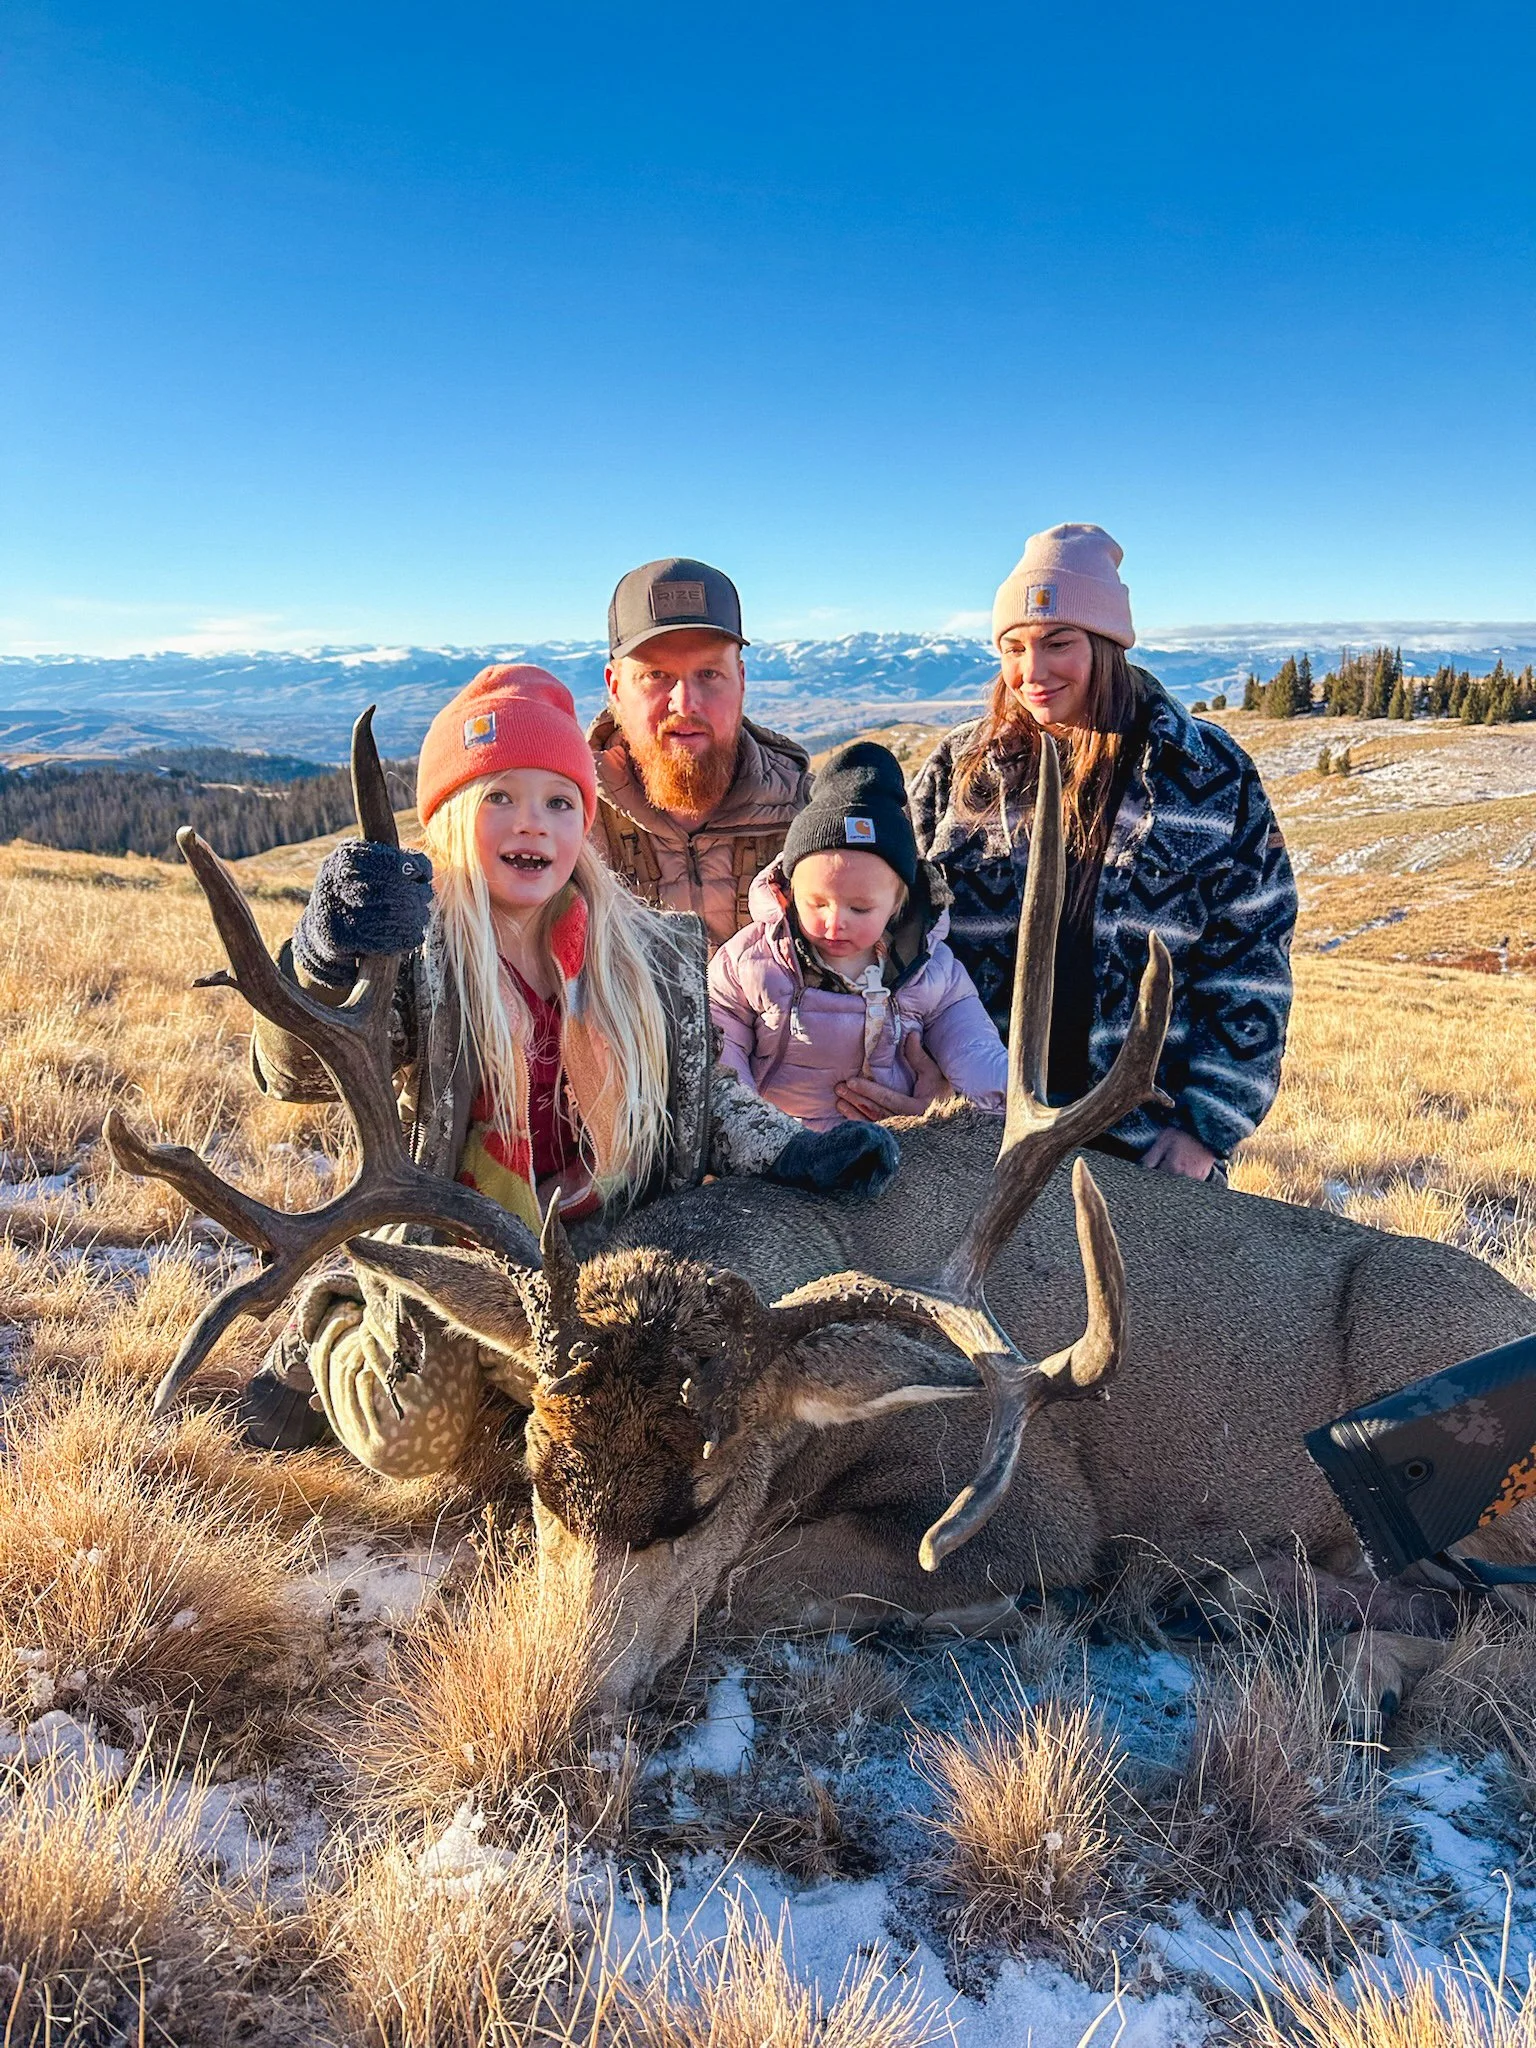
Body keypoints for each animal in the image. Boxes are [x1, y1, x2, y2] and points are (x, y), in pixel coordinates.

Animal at [105, 714, 1536, 1717]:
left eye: (700, 1499)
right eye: (541, 1470)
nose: (558, 1707)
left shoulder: (1031, 1506)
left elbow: (756, 1583)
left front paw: (987, 1617)